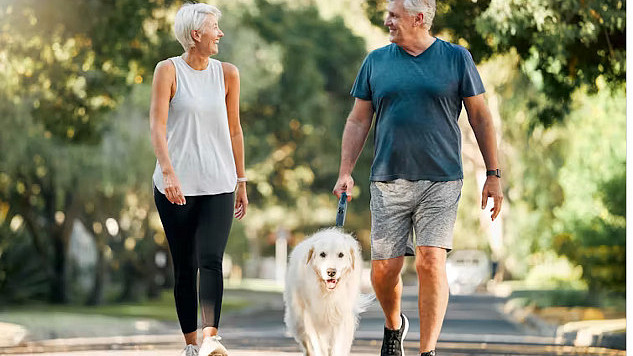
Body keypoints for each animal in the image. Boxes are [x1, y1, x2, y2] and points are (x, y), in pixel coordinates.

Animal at [286, 228, 372, 356]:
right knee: (307, 343)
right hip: (298, 320)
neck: (328, 293)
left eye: (341, 255)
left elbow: (338, 345)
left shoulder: (342, 316)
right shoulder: (313, 317)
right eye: (322, 254)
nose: (331, 272)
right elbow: (318, 344)